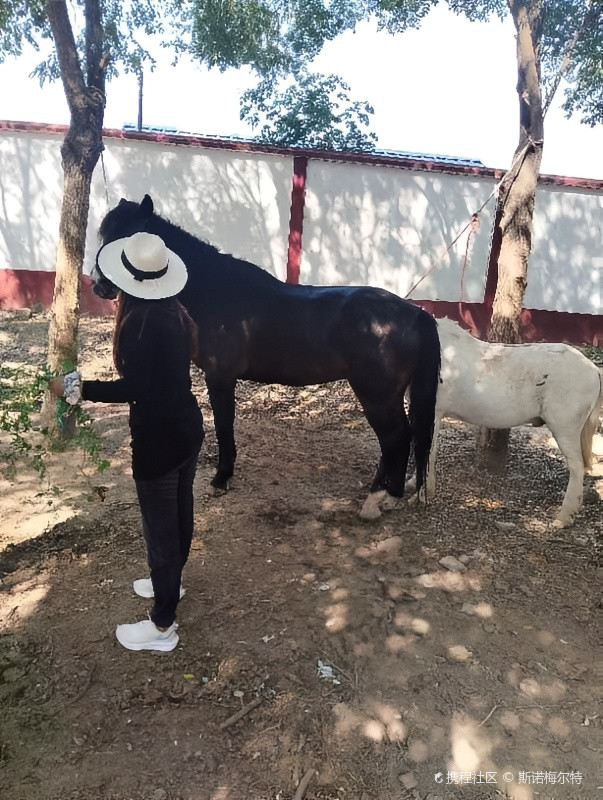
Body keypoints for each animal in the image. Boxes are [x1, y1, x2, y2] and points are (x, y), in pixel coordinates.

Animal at [94, 194, 441, 519]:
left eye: (128, 237)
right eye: (104, 235)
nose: (100, 287)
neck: (217, 292)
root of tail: (414, 313)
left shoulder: (220, 378)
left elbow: (223, 425)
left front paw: (221, 478)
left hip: (378, 396)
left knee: (396, 438)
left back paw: (382, 498)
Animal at [412, 317, 601, 527]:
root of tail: (593, 369)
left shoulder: (433, 414)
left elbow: (427, 452)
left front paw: (422, 495)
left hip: (565, 429)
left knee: (576, 467)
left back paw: (563, 517)